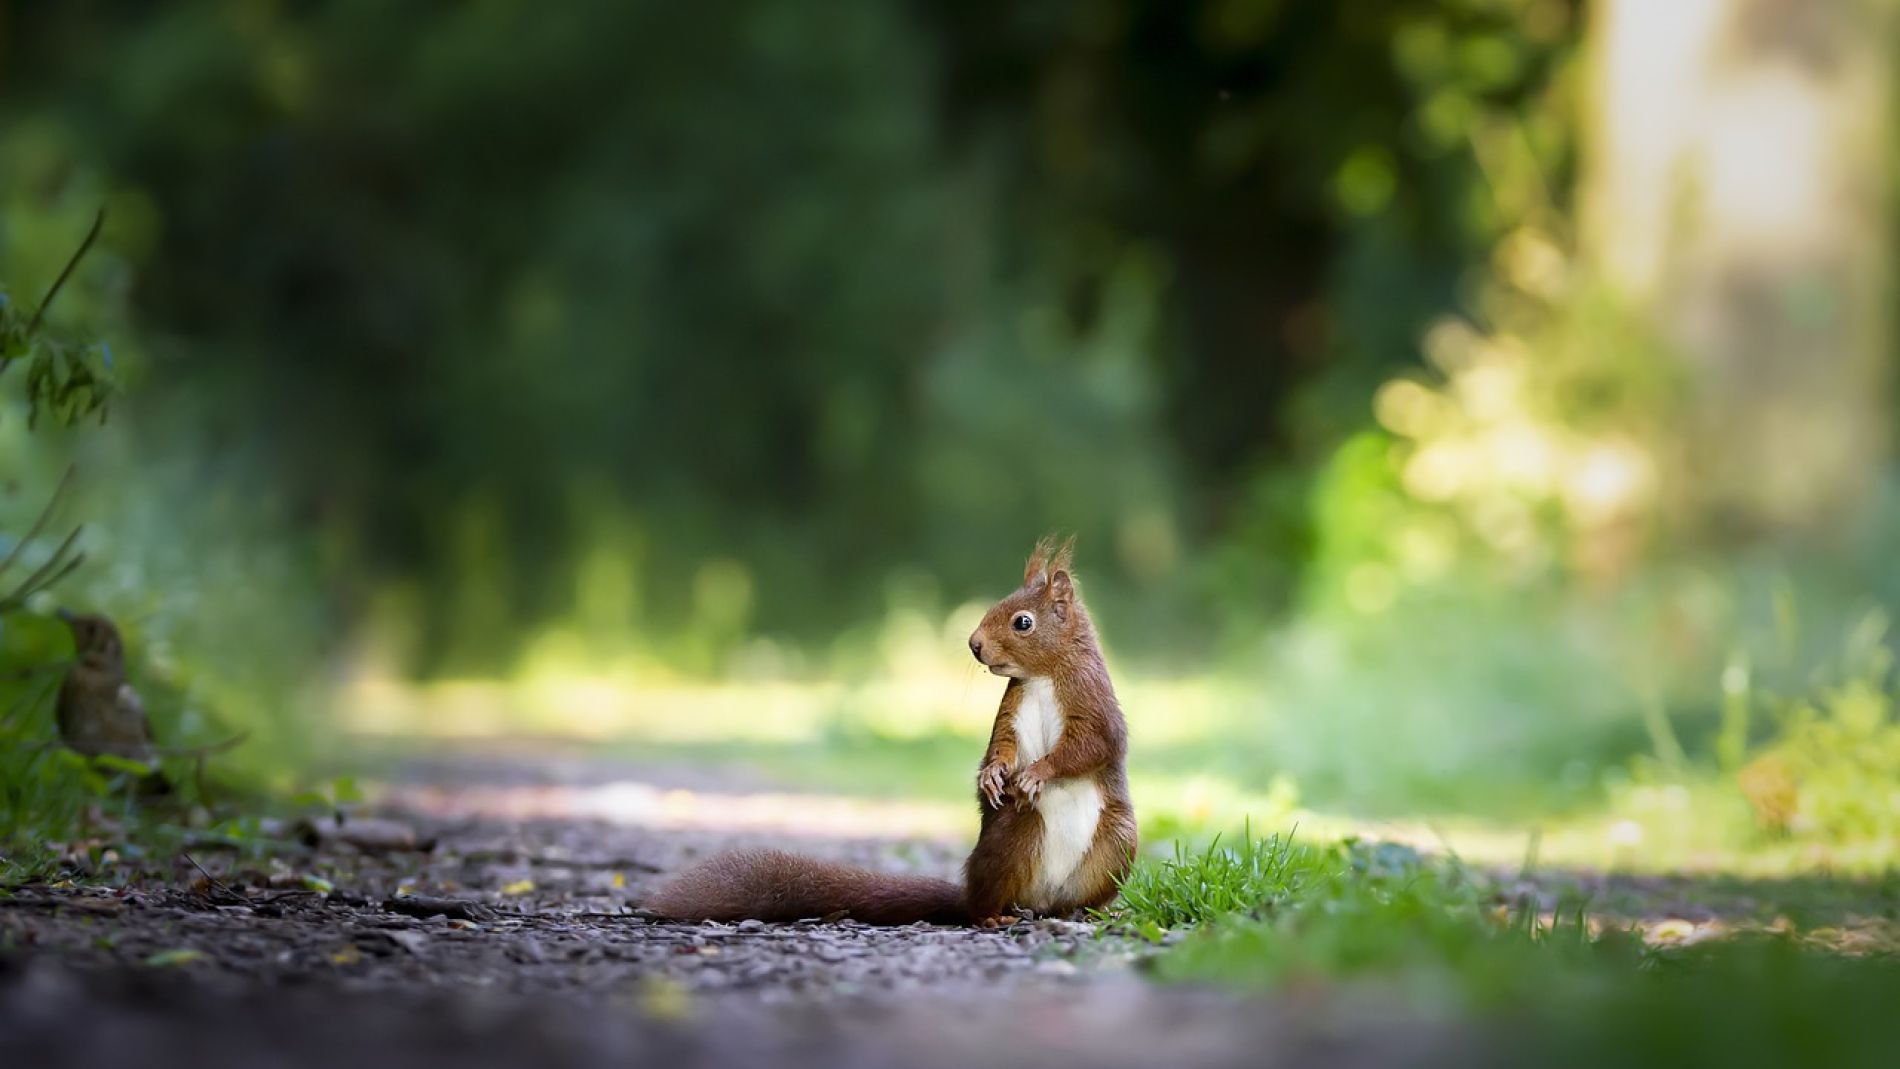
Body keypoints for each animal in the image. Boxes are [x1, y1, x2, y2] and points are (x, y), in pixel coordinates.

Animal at [646, 536, 1136, 927]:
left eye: (1023, 622)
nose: (974, 644)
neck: (1043, 677)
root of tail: (1039, 900)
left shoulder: (1092, 702)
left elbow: (1090, 746)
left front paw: (1036, 773)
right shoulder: (1011, 710)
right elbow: (1002, 745)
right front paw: (992, 775)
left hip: (1117, 842)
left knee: (1075, 894)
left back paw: (1086, 911)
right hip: (1015, 835)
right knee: (986, 900)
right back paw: (993, 916)